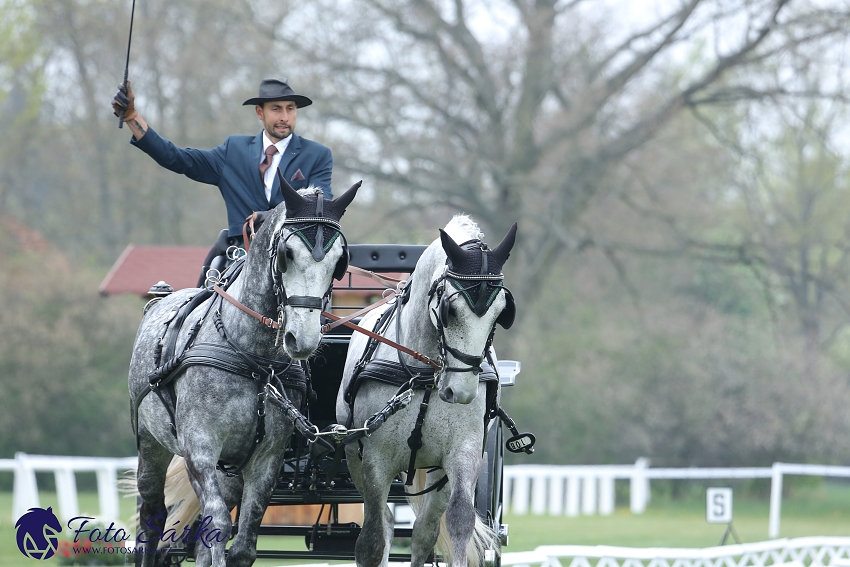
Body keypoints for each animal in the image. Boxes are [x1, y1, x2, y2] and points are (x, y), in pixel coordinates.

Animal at [127, 183, 360, 567]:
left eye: (339, 261)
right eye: (286, 254)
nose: (303, 339)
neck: (252, 359)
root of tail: (159, 299)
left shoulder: (267, 458)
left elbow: (244, 544)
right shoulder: (199, 446)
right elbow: (218, 524)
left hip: (231, 467)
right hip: (150, 442)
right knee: (152, 517)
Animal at [334, 216, 512, 567]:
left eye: (501, 313)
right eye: (449, 310)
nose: (461, 392)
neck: (426, 374)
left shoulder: (464, 452)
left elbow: (459, 521)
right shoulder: (375, 459)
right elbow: (372, 540)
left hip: (436, 471)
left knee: (424, 530)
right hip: (354, 457)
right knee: (384, 523)